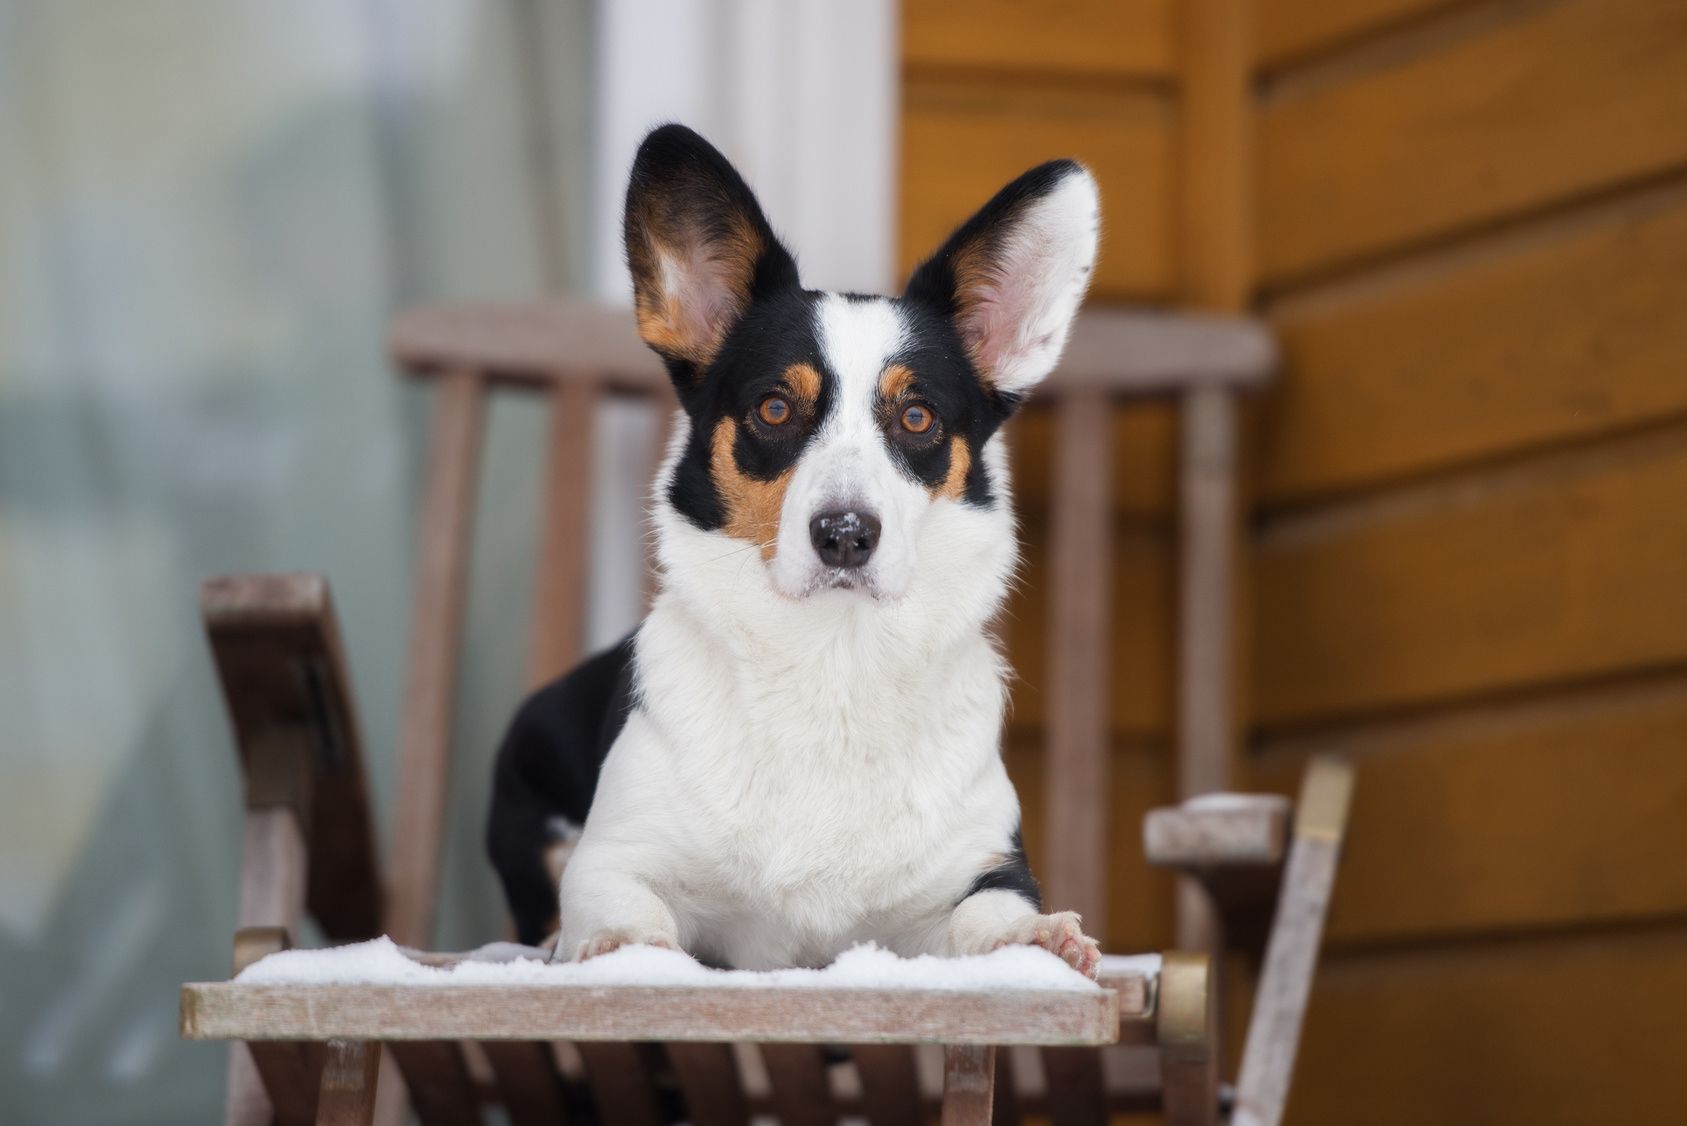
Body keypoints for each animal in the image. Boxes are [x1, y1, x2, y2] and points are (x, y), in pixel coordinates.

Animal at [485, 125, 1106, 979]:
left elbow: (995, 915)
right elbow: (624, 907)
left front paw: (1040, 937)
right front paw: (622, 948)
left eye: (916, 417)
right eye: (775, 408)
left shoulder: (978, 873)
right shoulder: (611, 859)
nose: (844, 534)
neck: (832, 663)